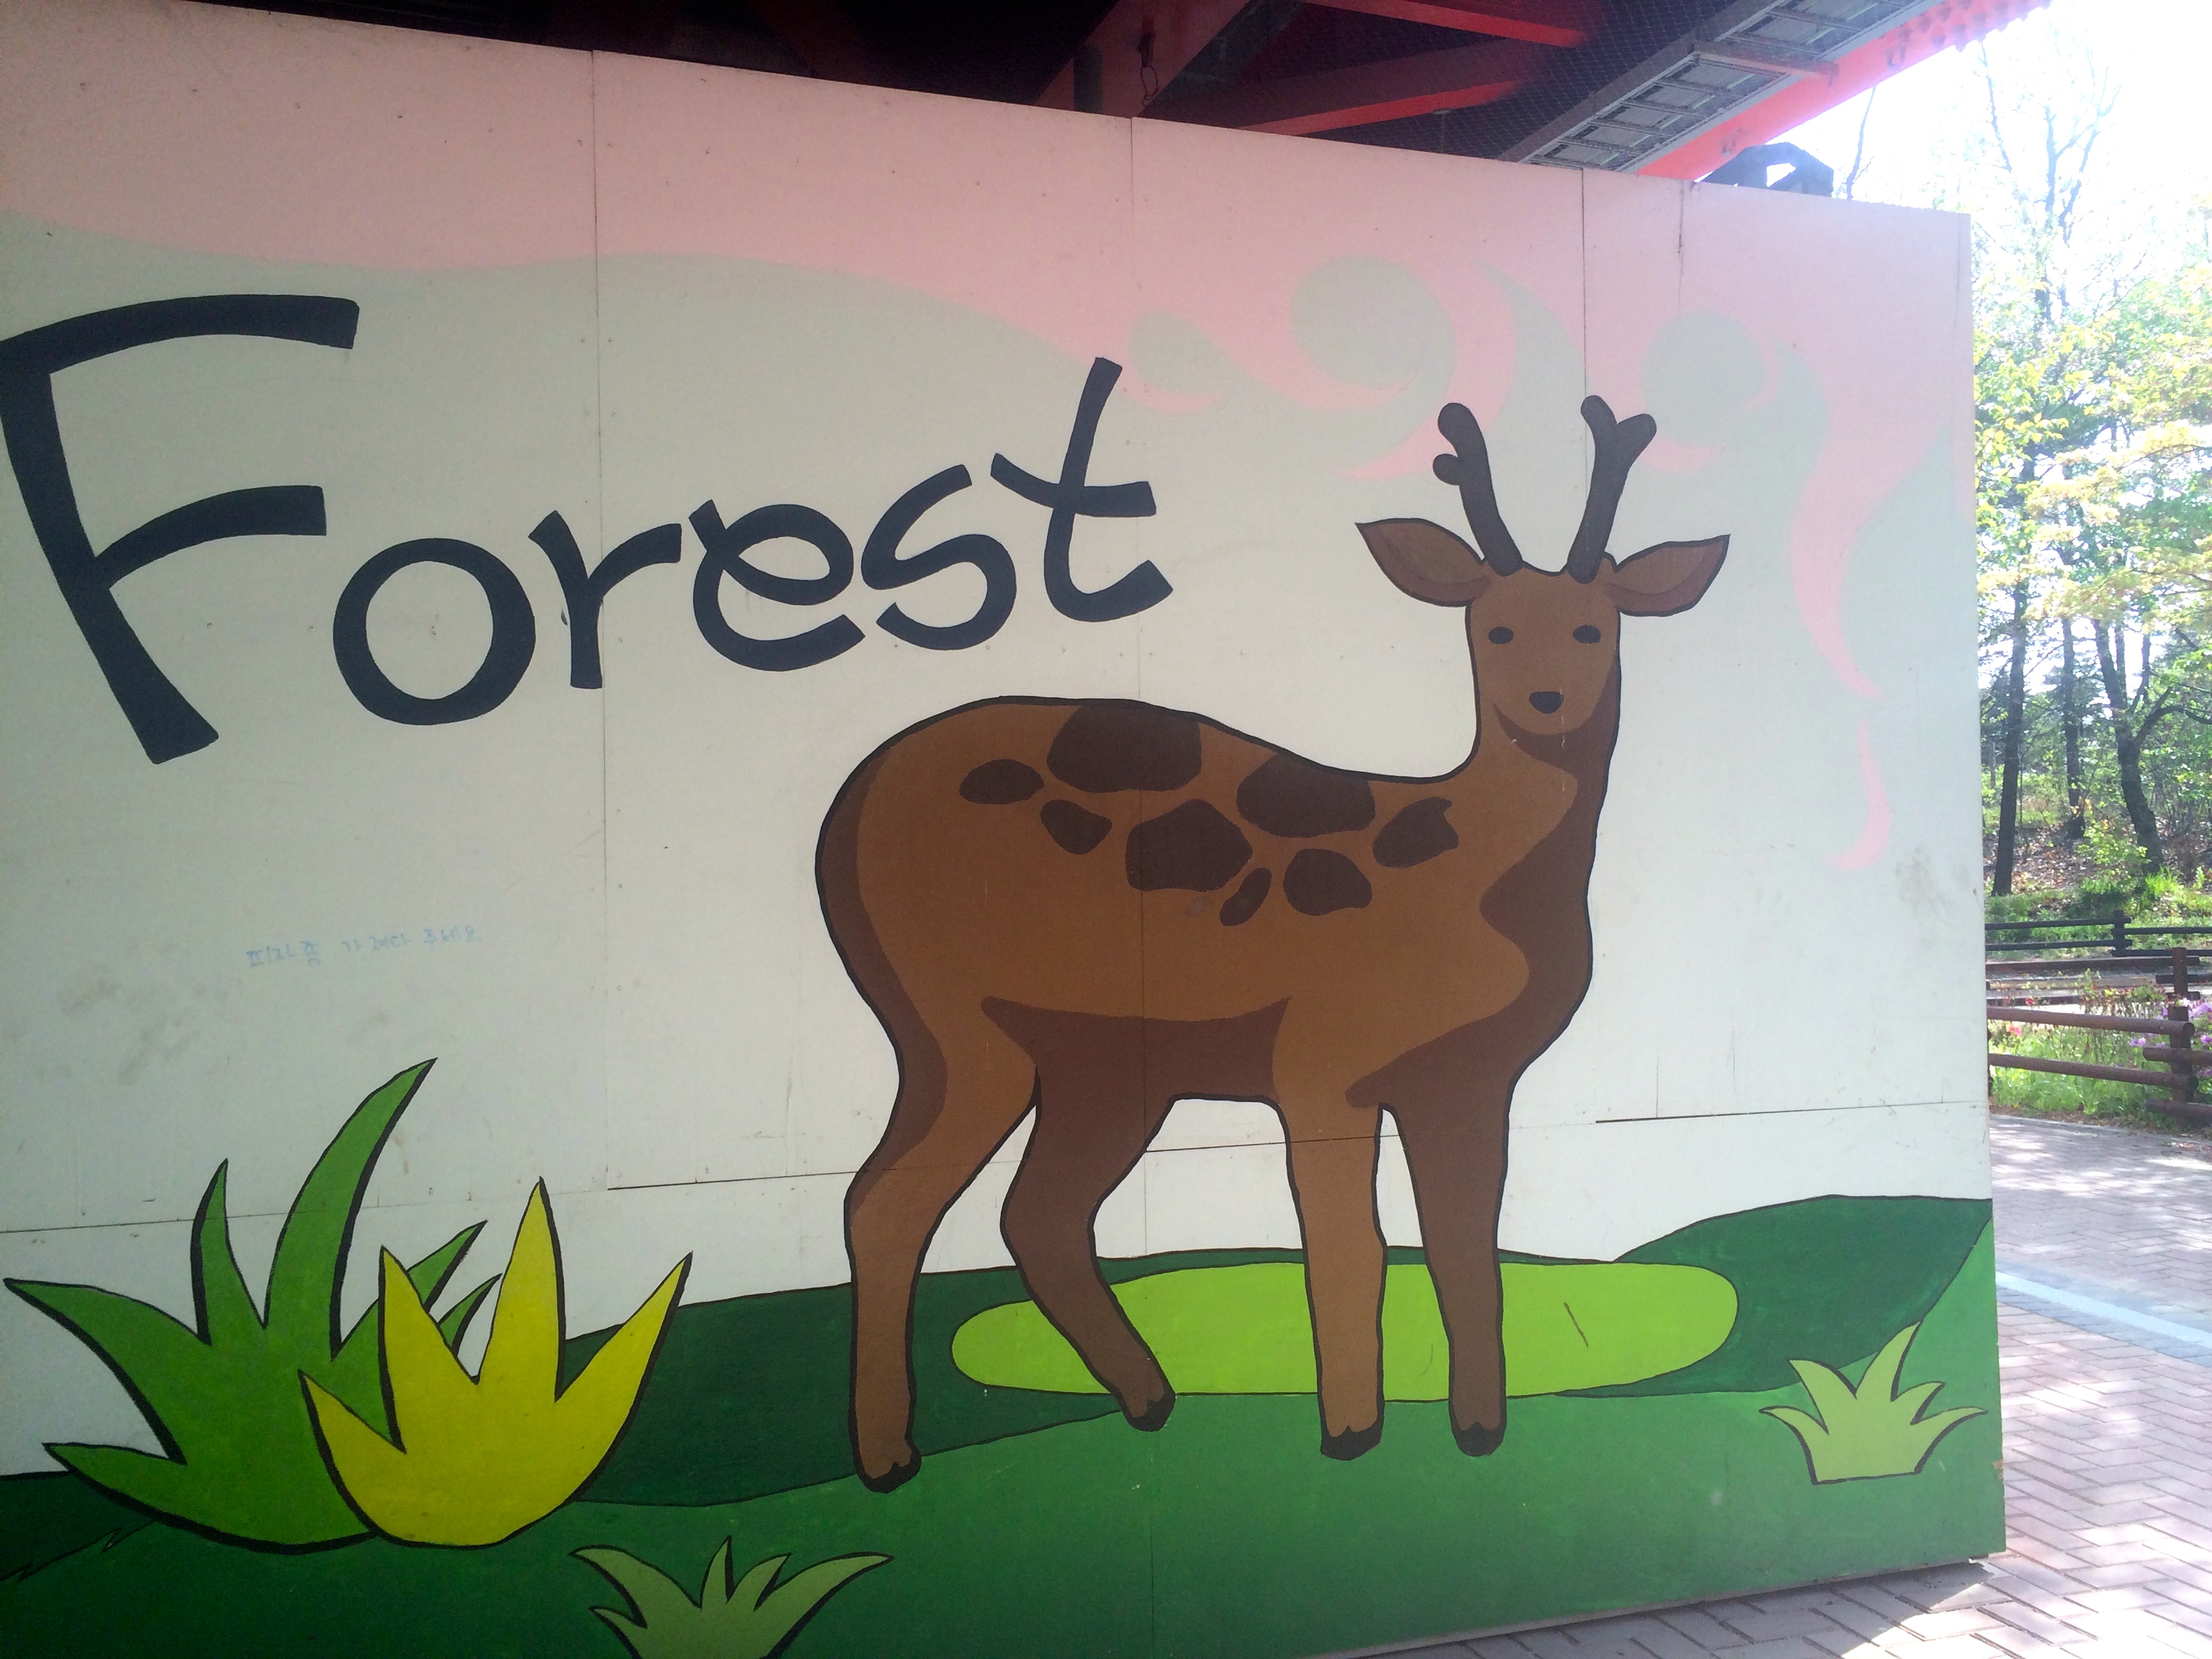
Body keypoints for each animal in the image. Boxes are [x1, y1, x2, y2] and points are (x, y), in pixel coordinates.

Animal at [817, 394, 1728, 1492]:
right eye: (1495, 626)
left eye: (1595, 625)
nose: (1548, 701)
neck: (1473, 869)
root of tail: (845, 810)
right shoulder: (1323, 1058)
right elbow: (1352, 1248)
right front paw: (1350, 1432)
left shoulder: (1470, 1082)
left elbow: (1468, 1250)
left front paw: (1478, 1431)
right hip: (951, 1016)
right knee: (883, 1203)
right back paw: (887, 1457)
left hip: (1103, 1063)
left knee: (1037, 1212)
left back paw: (1149, 1398)